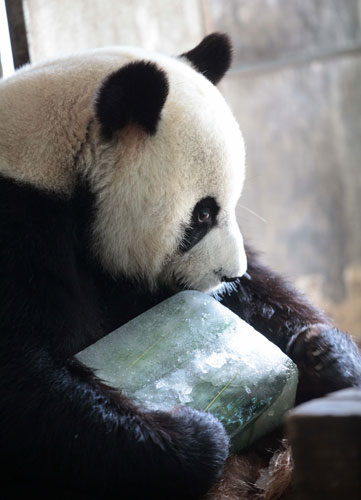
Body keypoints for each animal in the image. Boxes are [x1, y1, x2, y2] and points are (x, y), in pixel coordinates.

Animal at [0, 33, 360, 498]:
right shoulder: (20, 235)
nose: (230, 273)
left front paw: (323, 353)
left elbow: (260, 294)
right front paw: (191, 434)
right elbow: (23, 380)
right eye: (203, 214)